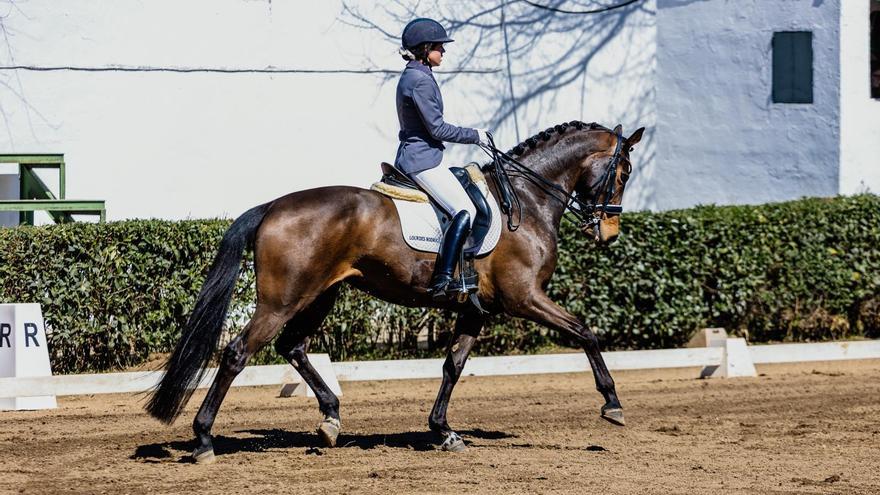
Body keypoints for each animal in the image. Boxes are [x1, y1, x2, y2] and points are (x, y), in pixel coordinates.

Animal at [146, 121, 648, 464]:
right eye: (623, 172)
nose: (608, 233)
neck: (524, 200)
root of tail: (273, 207)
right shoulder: (524, 298)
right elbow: (585, 332)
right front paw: (613, 405)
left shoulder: (478, 310)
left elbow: (453, 365)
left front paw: (443, 431)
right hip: (282, 300)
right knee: (237, 353)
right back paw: (204, 440)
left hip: (321, 294)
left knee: (293, 346)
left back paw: (330, 419)